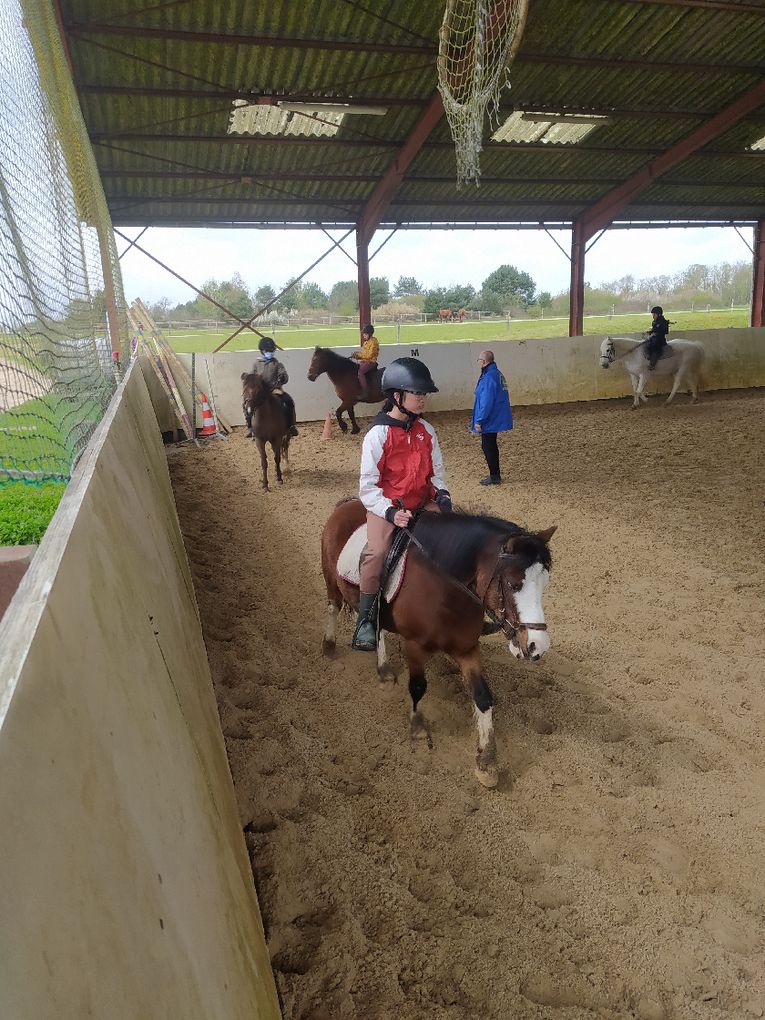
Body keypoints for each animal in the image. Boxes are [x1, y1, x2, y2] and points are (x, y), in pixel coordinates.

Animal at [318, 497, 558, 791]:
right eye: (514, 584)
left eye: (545, 584)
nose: (538, 645)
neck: (445, 590)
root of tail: (348, 502)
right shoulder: (414, 645)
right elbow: (418, 687)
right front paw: (419, 731)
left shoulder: (467, 649)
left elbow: (483, 697)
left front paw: (487, 762)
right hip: (331, 579)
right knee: (333, 606)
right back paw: (329, 646)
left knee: (377, 626)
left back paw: (383, 670)